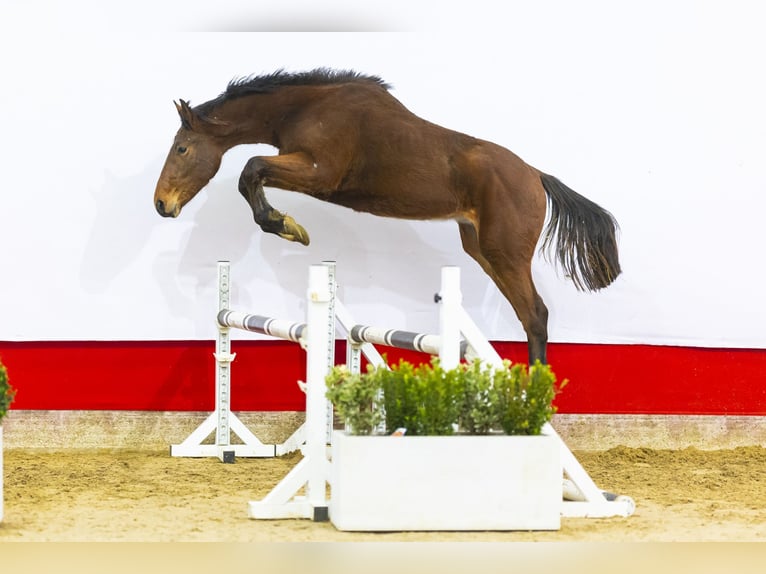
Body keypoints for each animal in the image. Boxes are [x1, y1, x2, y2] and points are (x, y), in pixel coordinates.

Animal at [153, 68, 620, 364]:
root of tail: (536, 176)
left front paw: (287, 227)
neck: (307, 107)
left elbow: (251, 169)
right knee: (528, 315)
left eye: (182, 148)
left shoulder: (320, 173)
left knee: (536, 315)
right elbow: (252, 174)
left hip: (504, 251)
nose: (161, 204)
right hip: (482, 250)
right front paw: (285, 225)